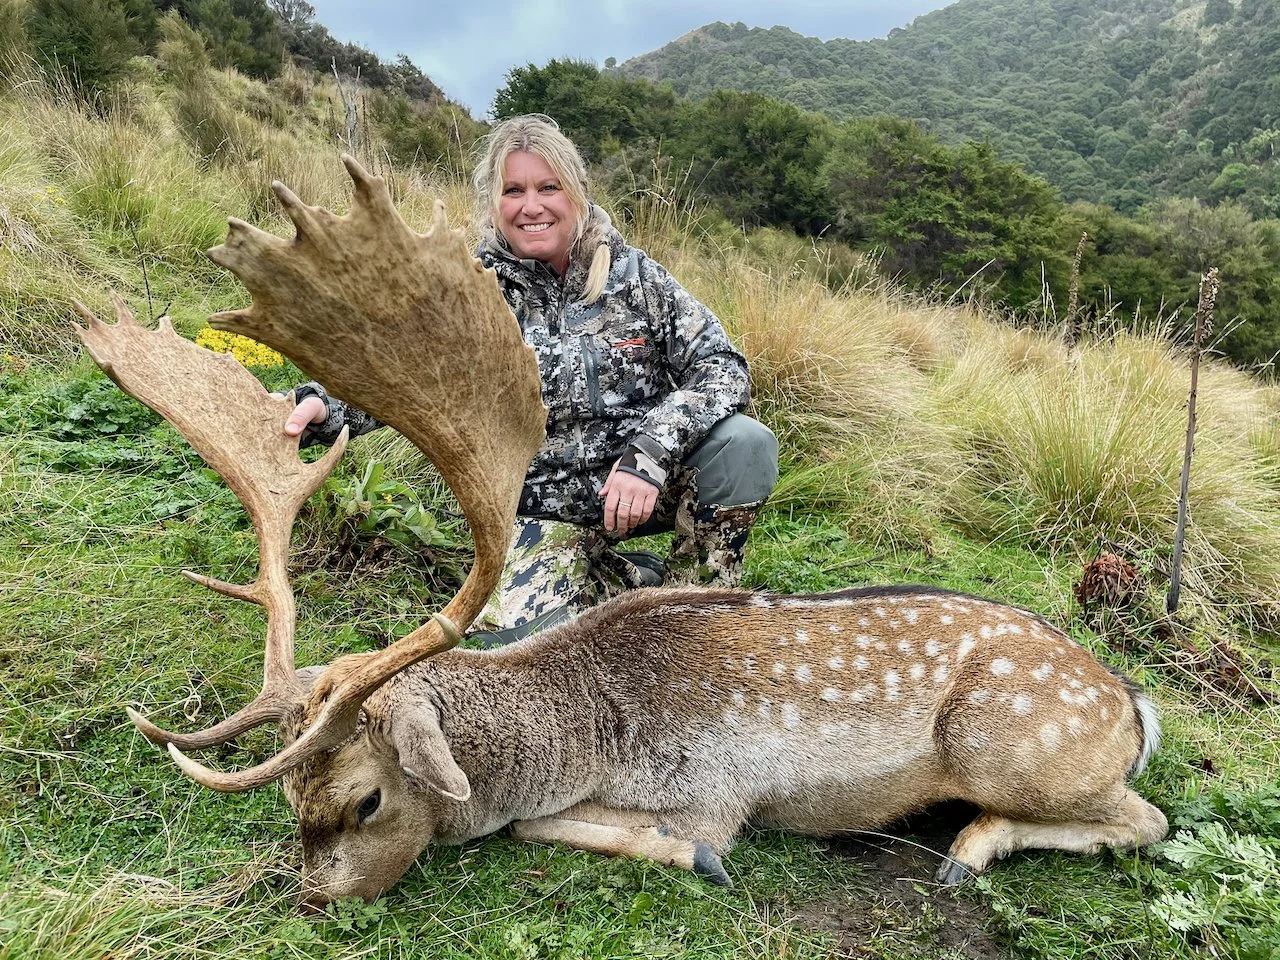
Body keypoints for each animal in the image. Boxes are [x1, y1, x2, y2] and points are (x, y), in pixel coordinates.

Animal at [73, 156, 1168, 910]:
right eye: (290, 799)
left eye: (367, 802)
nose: (311, 898)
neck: (592, 729)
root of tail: (1133, 704)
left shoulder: (717, 788)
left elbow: (555, 831)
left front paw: (696, 857)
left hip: (1013, 743)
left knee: (1142, 818)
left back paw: (966, 849)